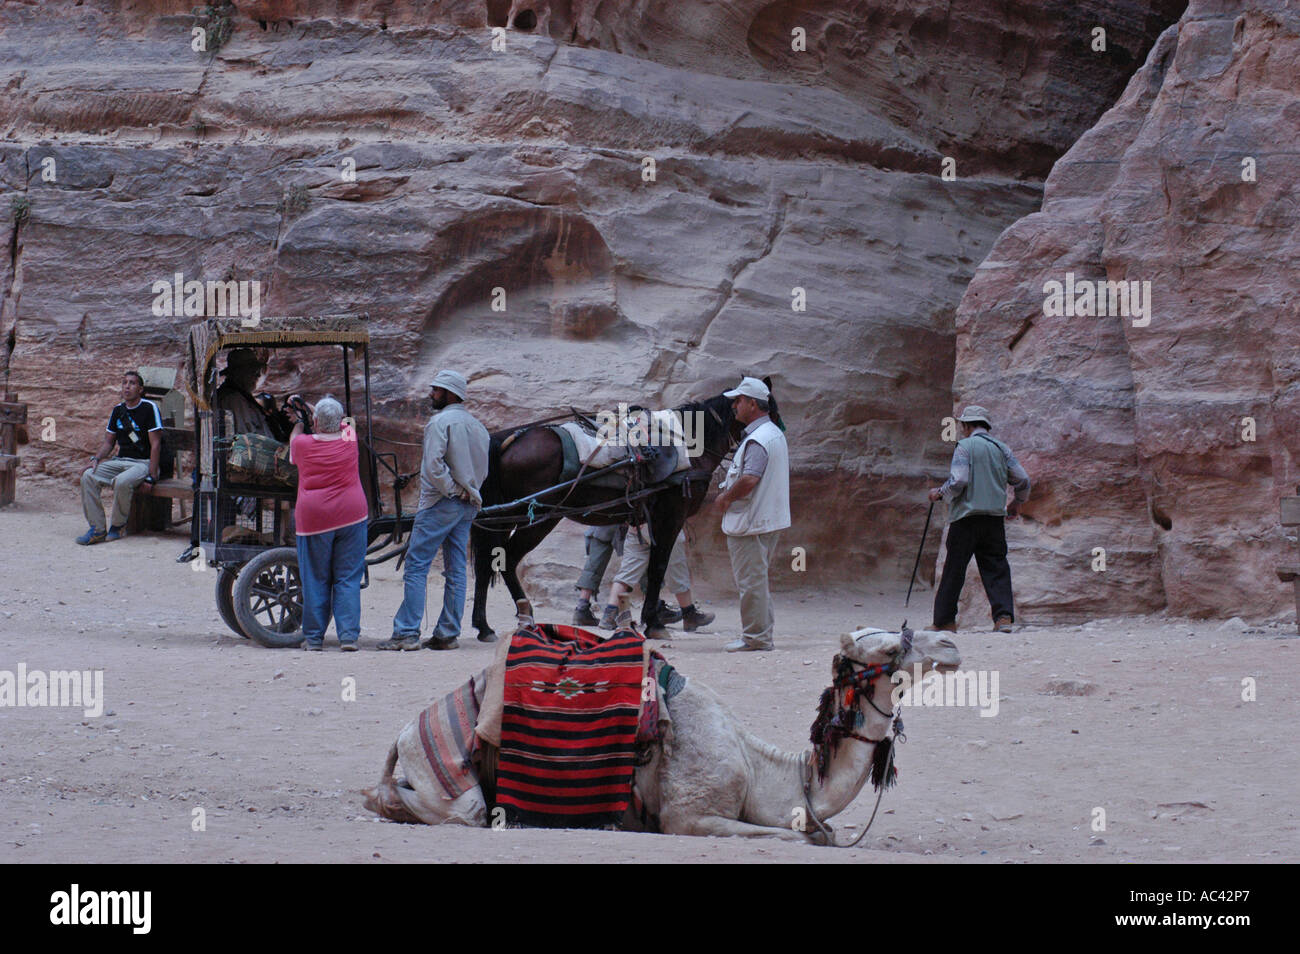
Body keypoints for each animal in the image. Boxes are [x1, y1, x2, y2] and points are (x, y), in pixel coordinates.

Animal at [361, 631, 961, 842]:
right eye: (892, 648)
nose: (951, 643)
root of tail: (405, 731)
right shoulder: (688, 816)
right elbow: (797, 837)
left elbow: (821, 832)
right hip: (445, 768)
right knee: (455, 809)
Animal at [473, 392, 748, 639]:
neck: (689, 448)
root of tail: (506, 442)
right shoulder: (670, 517)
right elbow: (658, 567)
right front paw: (654, 623)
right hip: (538, 517)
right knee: (506, 559)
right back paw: (520, 616)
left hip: (511, 516)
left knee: (487, 562)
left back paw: (486, 626)